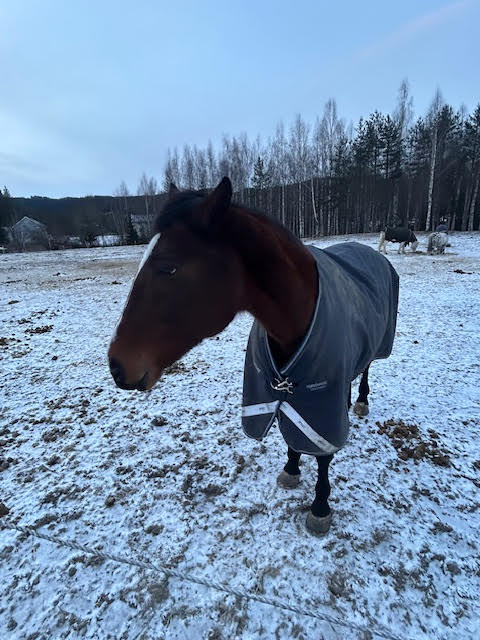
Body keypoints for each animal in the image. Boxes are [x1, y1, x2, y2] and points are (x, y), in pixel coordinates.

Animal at [109, 178, 399, 535]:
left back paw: (361, 401)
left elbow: (323, 454)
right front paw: (291, 468)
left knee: (367, 368)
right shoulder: (281, 392)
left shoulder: (321, 405)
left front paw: (320, 506)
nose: (116, 365)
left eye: (168, 267)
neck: (298, 318)